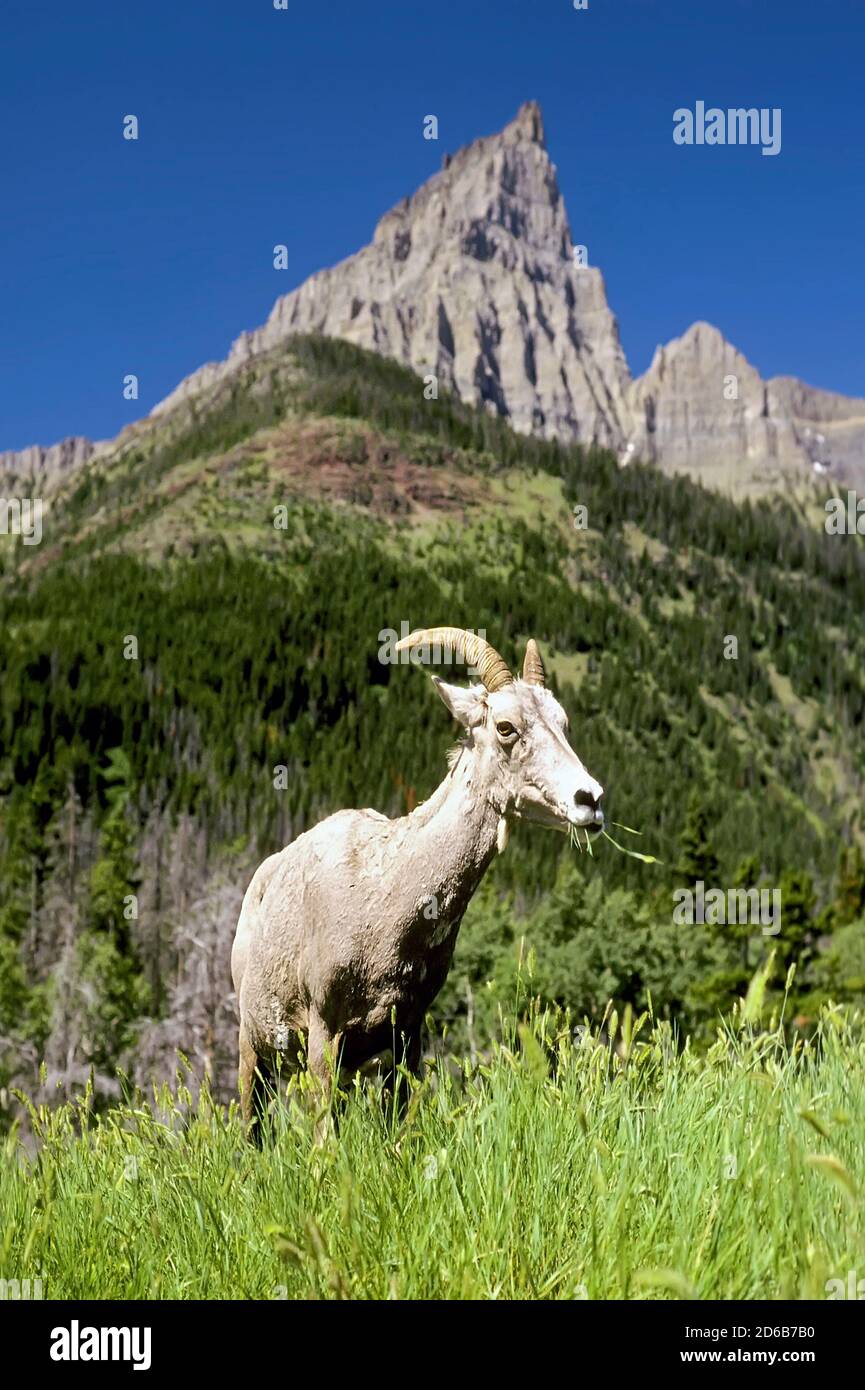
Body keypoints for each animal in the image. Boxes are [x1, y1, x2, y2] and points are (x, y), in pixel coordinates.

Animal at [231, 627, 604, 1139]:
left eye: (563, 723)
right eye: (506, 727)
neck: (386, 899)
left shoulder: (407, 1028)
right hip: (253, 1045)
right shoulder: (324, 1027)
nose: (591, 800)